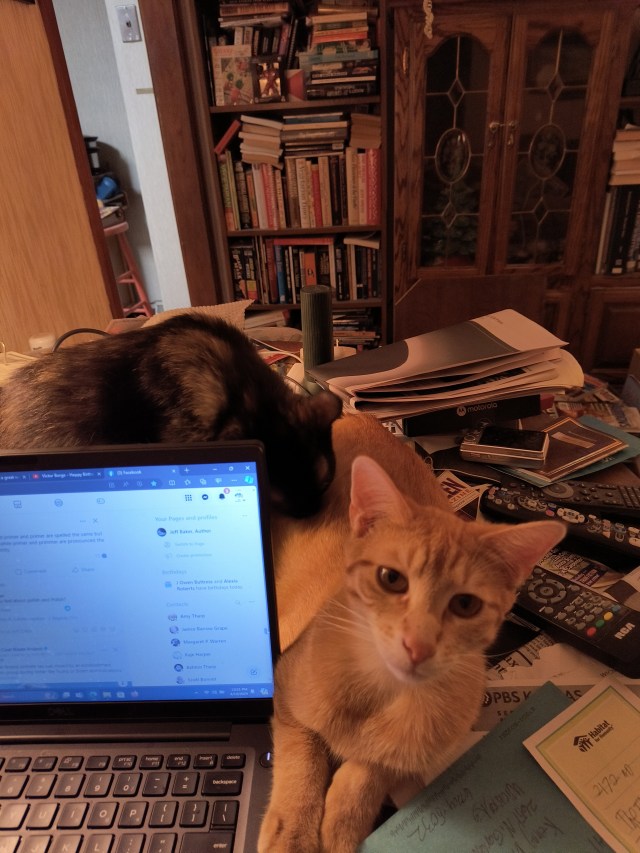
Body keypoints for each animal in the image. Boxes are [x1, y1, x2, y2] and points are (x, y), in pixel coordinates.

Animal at [261, 414, 566, 853]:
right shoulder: (284, 692)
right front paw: (295, 836)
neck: (381, 696)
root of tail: (360, 415)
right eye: (391, 579)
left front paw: (342, 825)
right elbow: (302, 765)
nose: (417, 645)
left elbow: (371, 772)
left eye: (465, 604)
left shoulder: (415, 754)